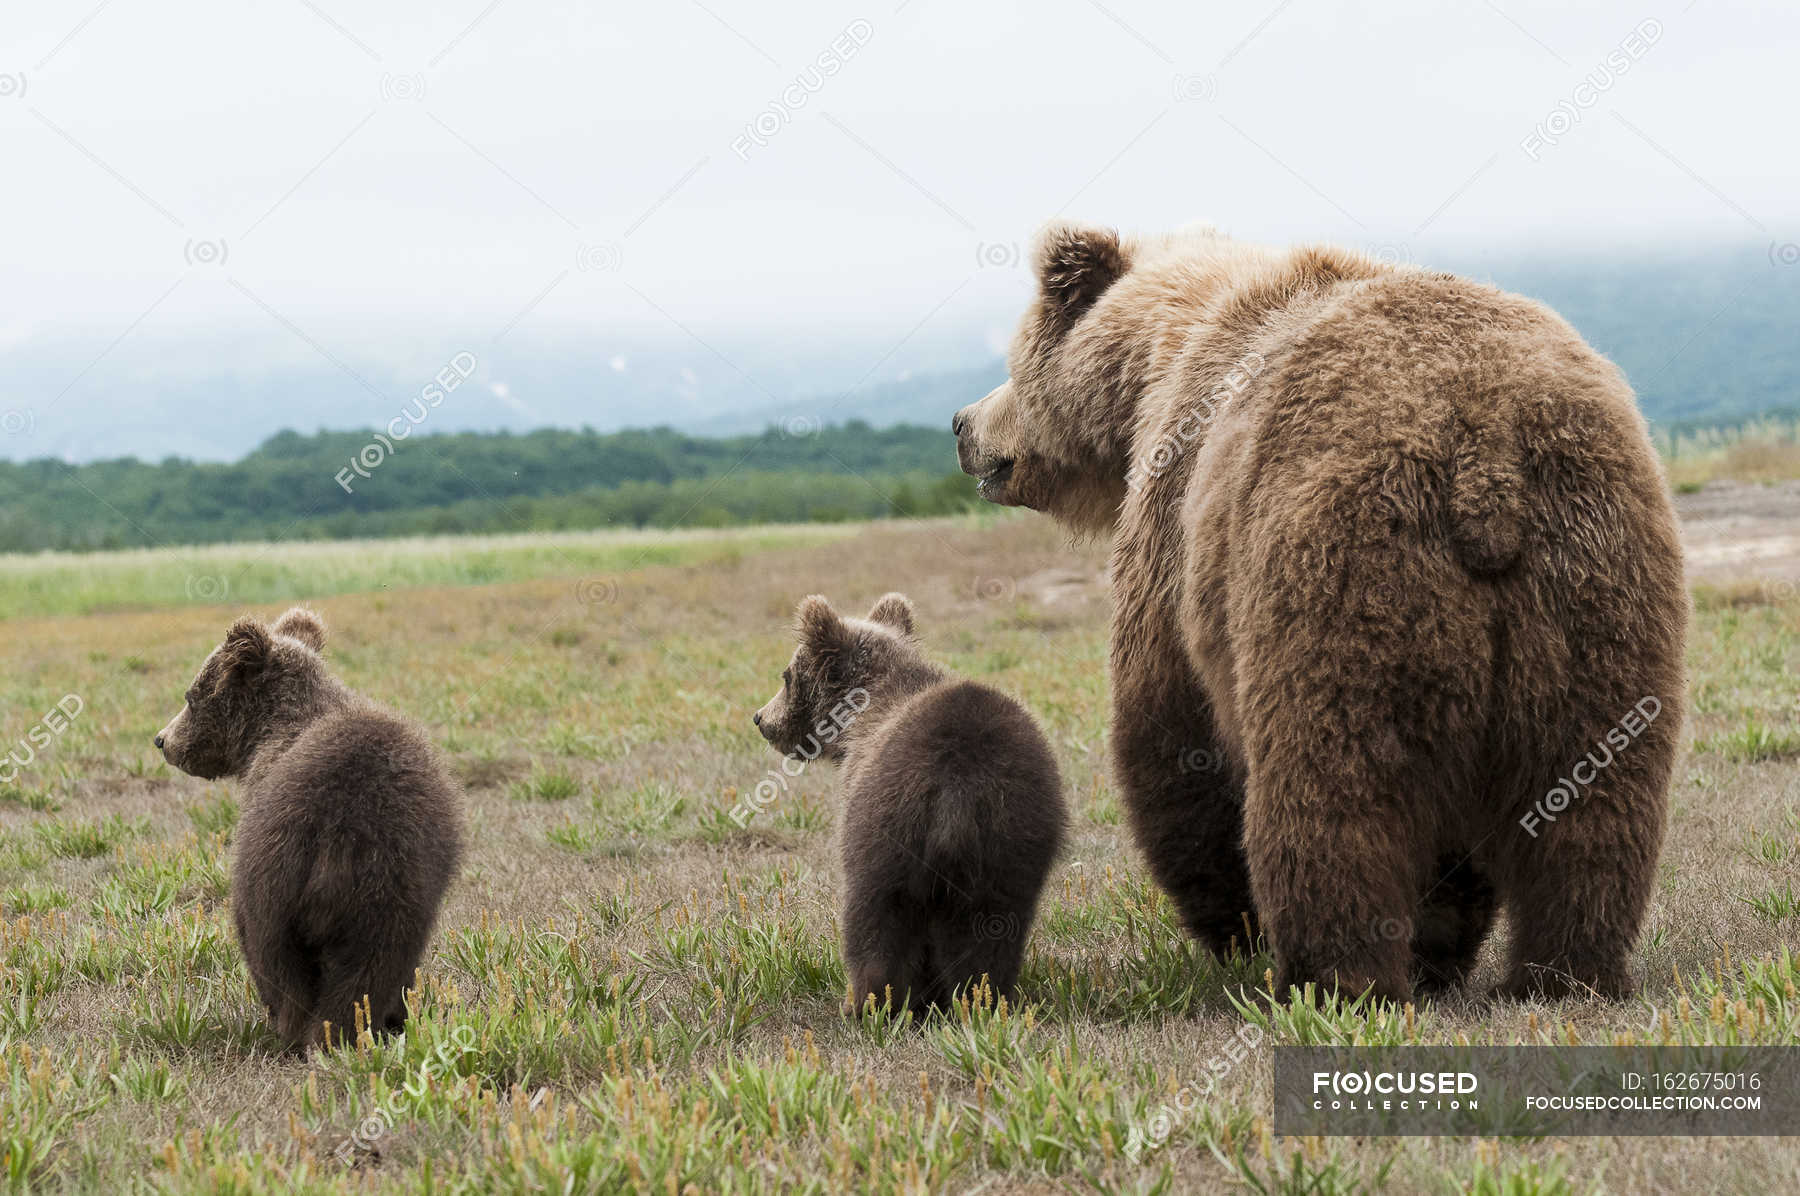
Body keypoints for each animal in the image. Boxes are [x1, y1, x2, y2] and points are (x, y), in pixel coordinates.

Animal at [957, 221, 1684, 1001]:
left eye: (1013, 362)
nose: (962, 424)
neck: (1157, 360)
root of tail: (1484, 460)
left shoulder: (1174, 526)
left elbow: (1171, 737)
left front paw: (1234, 932)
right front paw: (1440, 944)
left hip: (1339, 577)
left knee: (1331, 794)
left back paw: (1335, 977)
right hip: (1597, 580)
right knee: (1591, 801)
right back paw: (1564, 973)